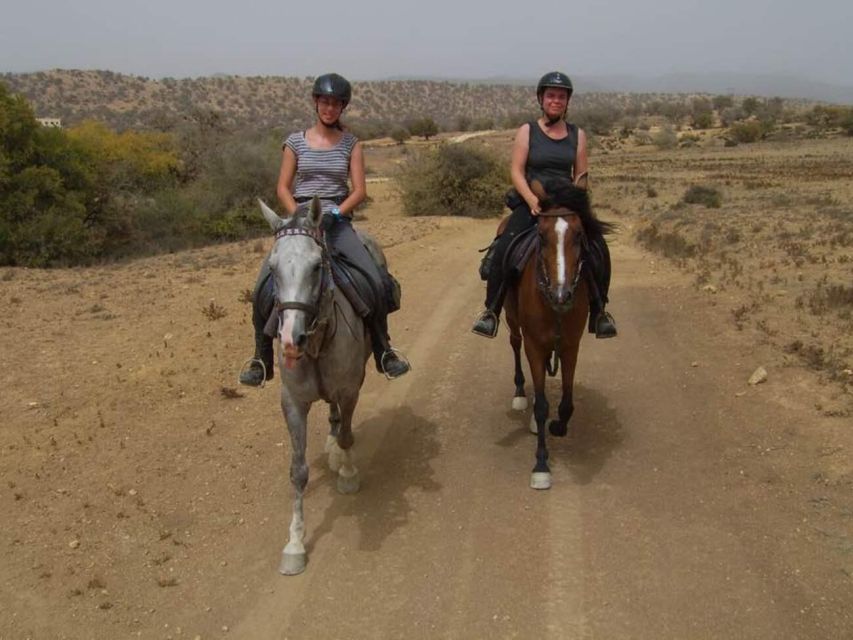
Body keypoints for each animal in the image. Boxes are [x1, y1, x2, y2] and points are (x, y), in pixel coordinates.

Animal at [256, 196, 370, 576]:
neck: (317, 344)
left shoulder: (350, 390)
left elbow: (348, 435)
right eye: (273, 267)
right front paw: (294, 543)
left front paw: (348, 472)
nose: (292, 340)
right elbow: (298, 471)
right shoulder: (292, 402)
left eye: (317, 266)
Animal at [502, 179, 608, 490]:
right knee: (514, 344)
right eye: (541, 236)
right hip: (512, 320)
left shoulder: (571, 345)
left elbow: (567, 402)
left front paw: (558, 426)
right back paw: (520, 393)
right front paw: (541, 465)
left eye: (579, 235)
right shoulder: (534, 346)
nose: (563, 294)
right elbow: (541, 406)